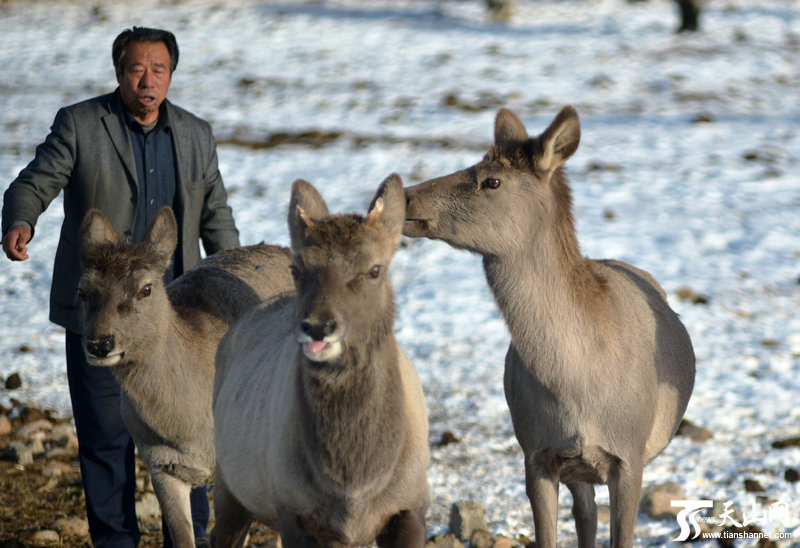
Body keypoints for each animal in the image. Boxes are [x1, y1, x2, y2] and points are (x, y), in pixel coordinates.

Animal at [209, 176, 428, 548]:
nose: (318, 326)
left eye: (374, 269)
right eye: (297, 268)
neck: (355, 485)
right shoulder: (294, 508)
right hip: (228, 486)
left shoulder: (410, 507)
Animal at [404, 107, 696, 548]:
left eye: (491, 180)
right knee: (586, 513)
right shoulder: (536, 453)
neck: (575, 386)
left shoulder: (629, 454)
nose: (402, 195)